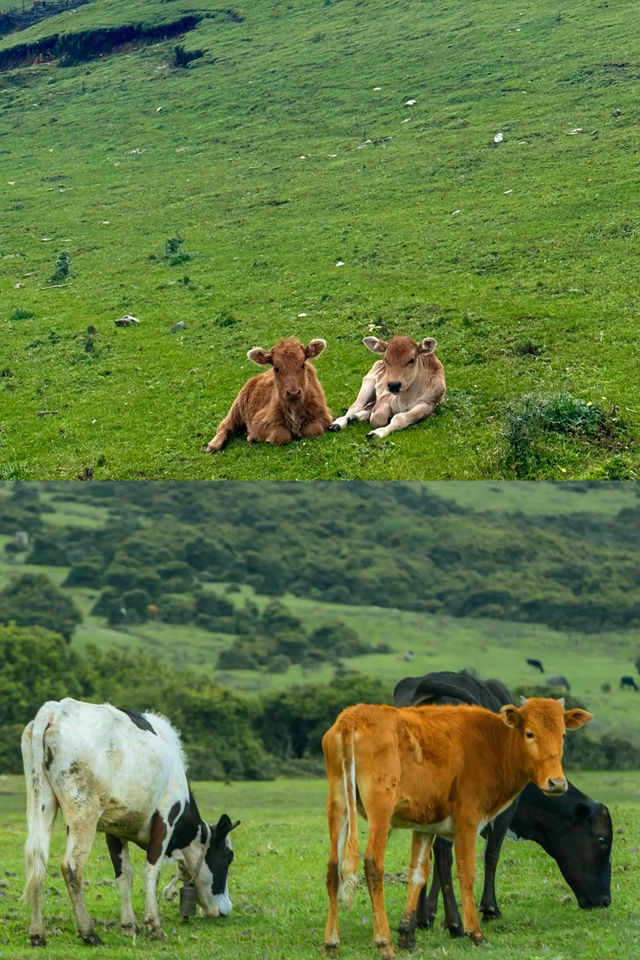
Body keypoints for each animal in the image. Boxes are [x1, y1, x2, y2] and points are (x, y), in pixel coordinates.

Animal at [21, 696, 240, 944]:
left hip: (41, 803)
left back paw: (37, 933)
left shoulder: (114, 829)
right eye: (228, 856)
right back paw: (88, 932)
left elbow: (124, 874)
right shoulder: (165, 817)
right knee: (71, 867)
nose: (226, 908)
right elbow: (151, 871)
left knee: (37, 862)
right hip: (83, 813)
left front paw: (129, 925)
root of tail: (55, 710)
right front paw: (154, 926)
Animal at [206, 338, 336, 454]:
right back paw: (213, 445)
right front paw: (253, 436)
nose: (293, 392)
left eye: (303, 364)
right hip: (237, 408)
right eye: (276, 368)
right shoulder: (259, 421)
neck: (294, 408)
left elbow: (313, 430)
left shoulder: (324, 416)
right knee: (224, 426)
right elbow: (281, 435)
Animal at [320, 692, 592, 956]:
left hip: (338, 804)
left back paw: (331, 942)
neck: (492, 743)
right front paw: (475, 932)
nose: (556, 783)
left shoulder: (424, 826)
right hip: (381, 810)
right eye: (530, 733)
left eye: (563, 734)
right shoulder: (467, 823)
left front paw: (407, 934)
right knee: (372, 864)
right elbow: (466, 872)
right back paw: (383, 941)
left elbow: (418, 874)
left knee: (333, 867)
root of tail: (352, 717)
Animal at [392, 672, 612, 932]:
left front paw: (428, 914)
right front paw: (489, 909)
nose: (604, 900)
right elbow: (492, 853)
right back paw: (456, 923)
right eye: (602, 840)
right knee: (444, 852)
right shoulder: (504, 810)